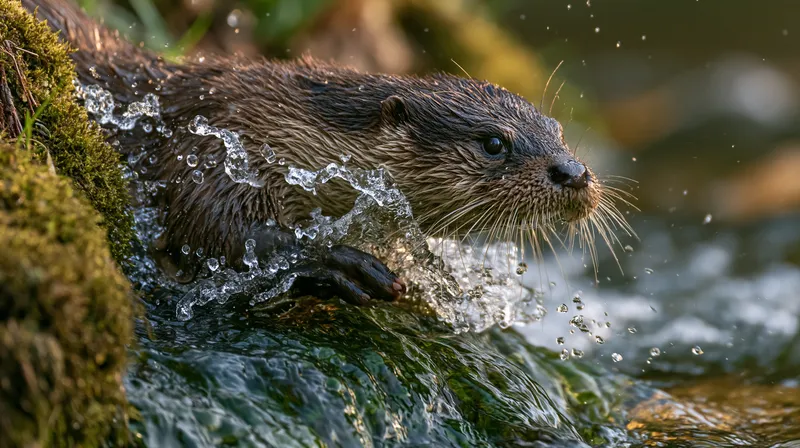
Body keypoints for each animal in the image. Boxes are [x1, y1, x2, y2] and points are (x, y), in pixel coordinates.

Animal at [22, 0, 615, 305]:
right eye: (494, 143)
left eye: (559, 132)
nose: (574, 171)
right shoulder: (211, 145)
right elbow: (207, 227)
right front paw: (336, 260)